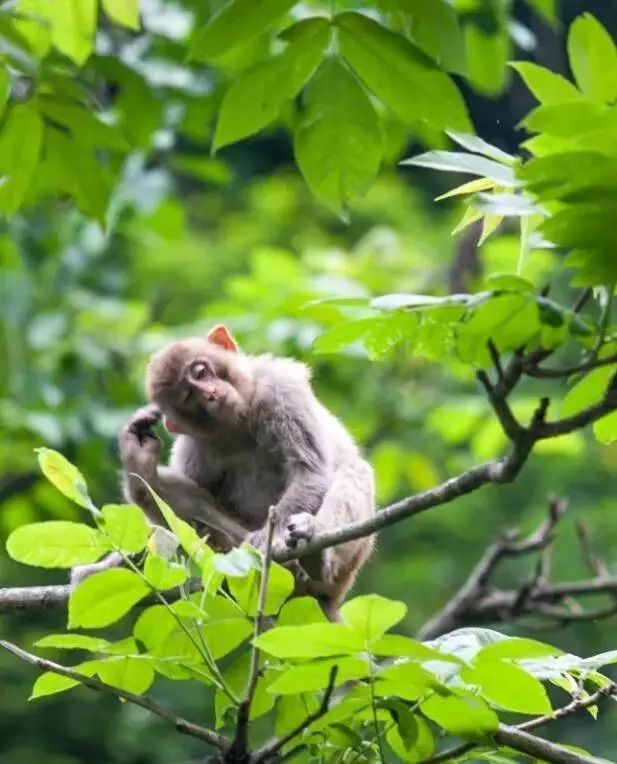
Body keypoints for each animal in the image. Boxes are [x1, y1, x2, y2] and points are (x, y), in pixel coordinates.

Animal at [74, 326, 372, 616]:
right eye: (189, 397)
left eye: (201, 372)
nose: (210, 394)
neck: (239, 423)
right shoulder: (193, 446)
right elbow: (175, 524)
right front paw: (138, 458)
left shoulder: (280, 388)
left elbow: (308, 471)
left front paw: (267, 541)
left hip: (348, 565)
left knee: (354, 470)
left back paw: (317, 560)